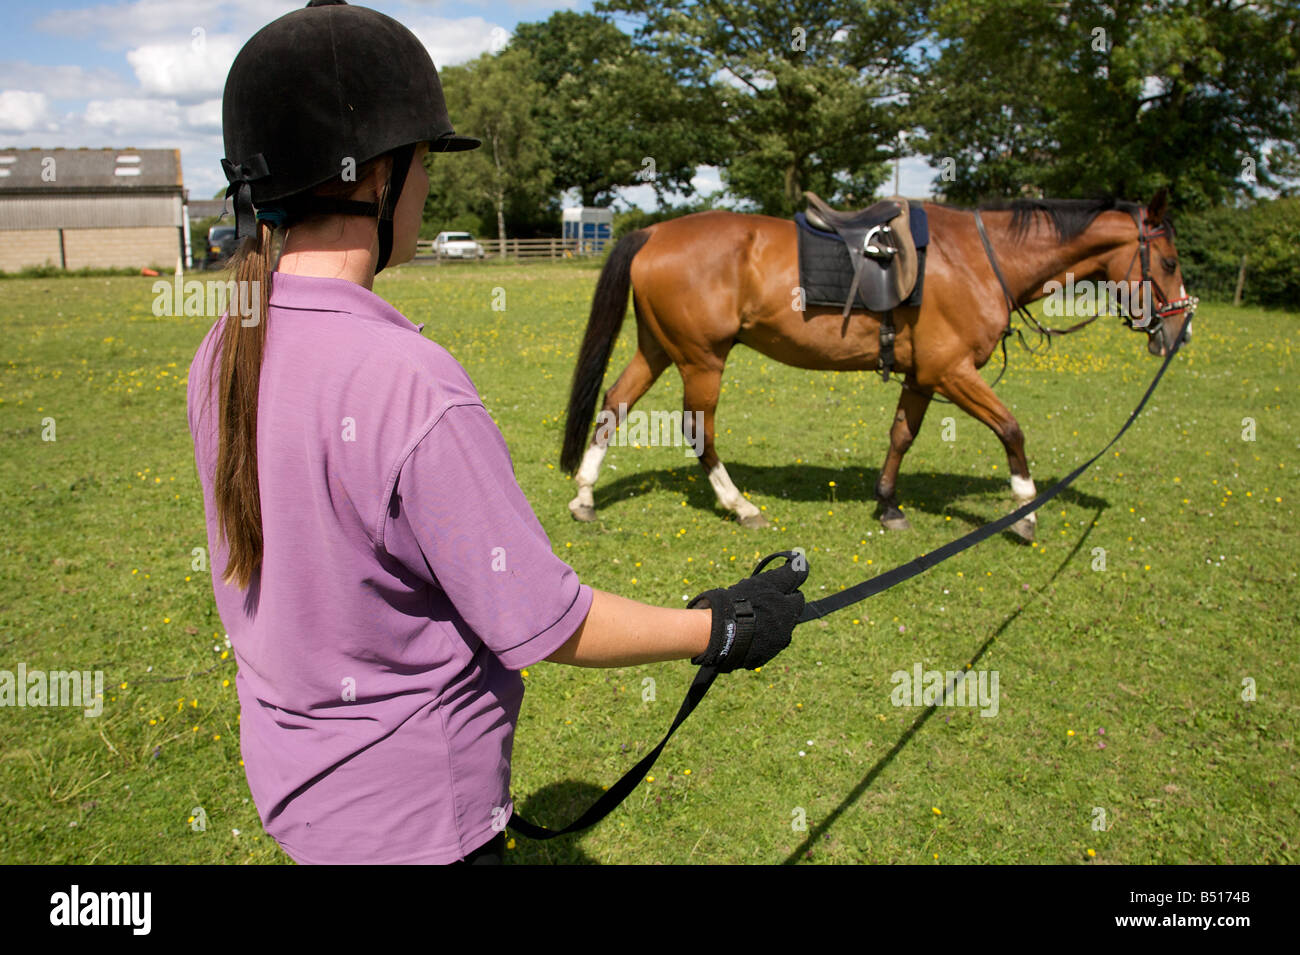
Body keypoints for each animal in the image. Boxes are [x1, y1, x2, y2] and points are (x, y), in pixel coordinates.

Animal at [559, 188, 1194, 541]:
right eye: (1167, 261)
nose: (1180, 328)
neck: (978, 259)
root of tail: (653, 232)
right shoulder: (952, 372)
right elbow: (1011, 428)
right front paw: (1024, 510)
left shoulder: (924, 376)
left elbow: (901, 436)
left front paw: (888, 505)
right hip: (701, 360)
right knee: (699, 431)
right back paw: (740, 506)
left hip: (660, 349)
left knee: (615, 403)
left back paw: (586, 496)